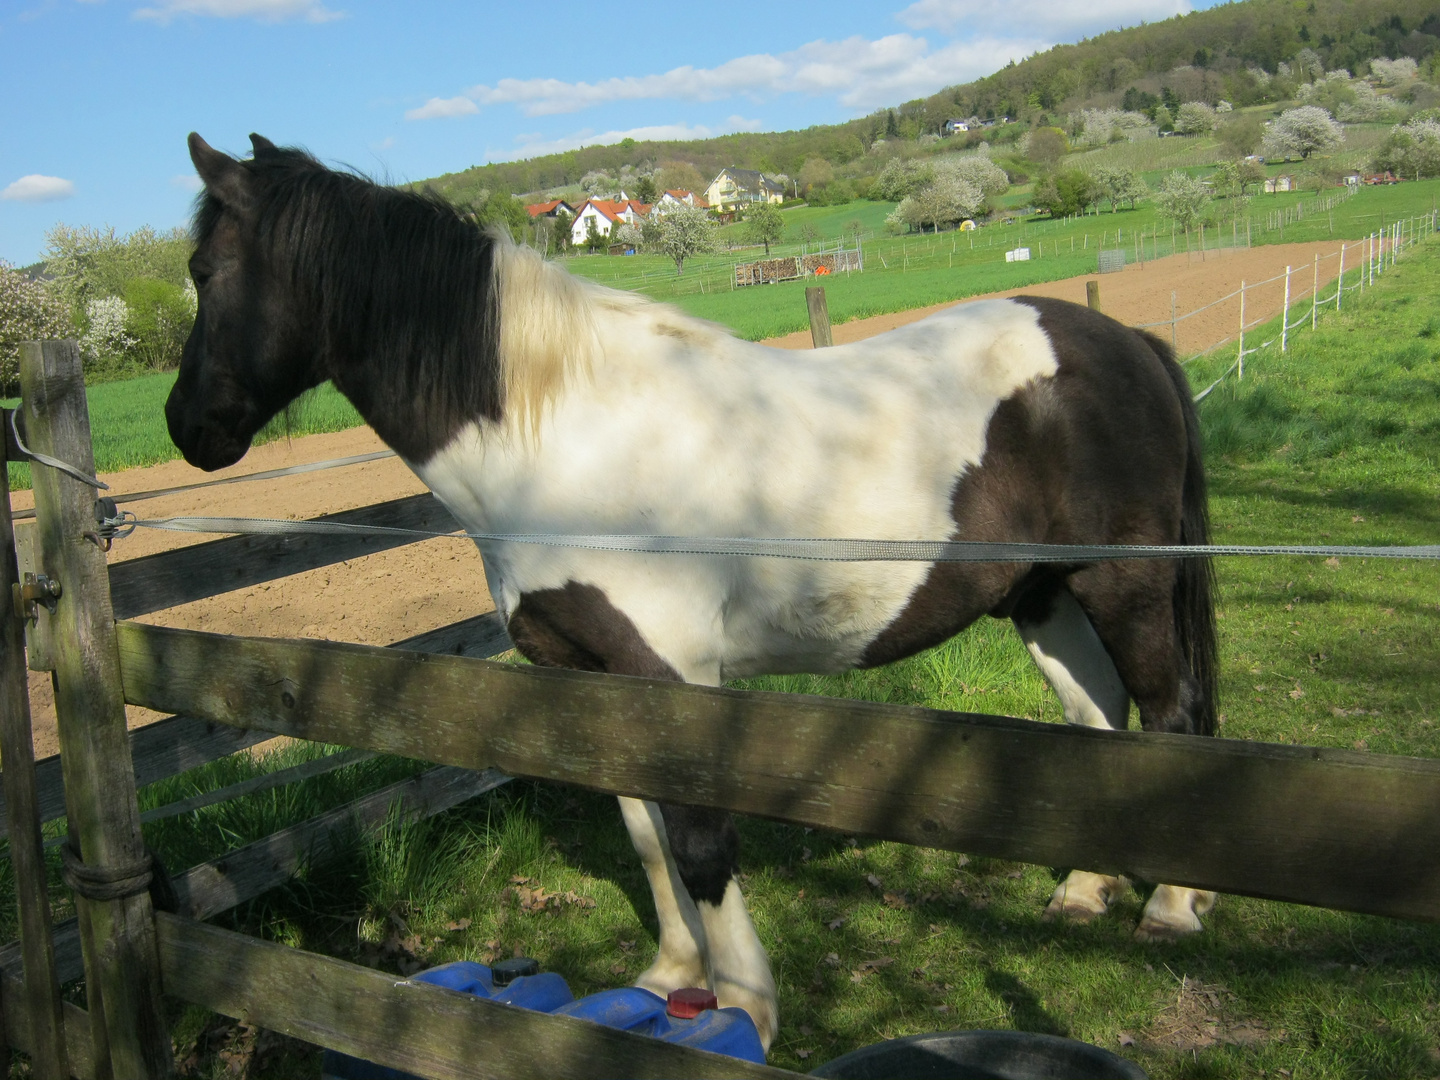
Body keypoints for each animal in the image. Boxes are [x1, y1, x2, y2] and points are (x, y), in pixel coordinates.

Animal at [168, 133, 1221, 1048]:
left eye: (205, 272)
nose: (186, 426)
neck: (564, 437)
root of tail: (1124, 338)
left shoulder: (675, 673)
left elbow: (703, 841)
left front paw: (746, 1005)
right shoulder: (593, 675)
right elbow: (645, 832)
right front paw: (673, 975)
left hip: (1124, 582)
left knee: (1169, 716)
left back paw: (1171, 906)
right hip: (1041, 595)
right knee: (1099, 720)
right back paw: (1084, 890)